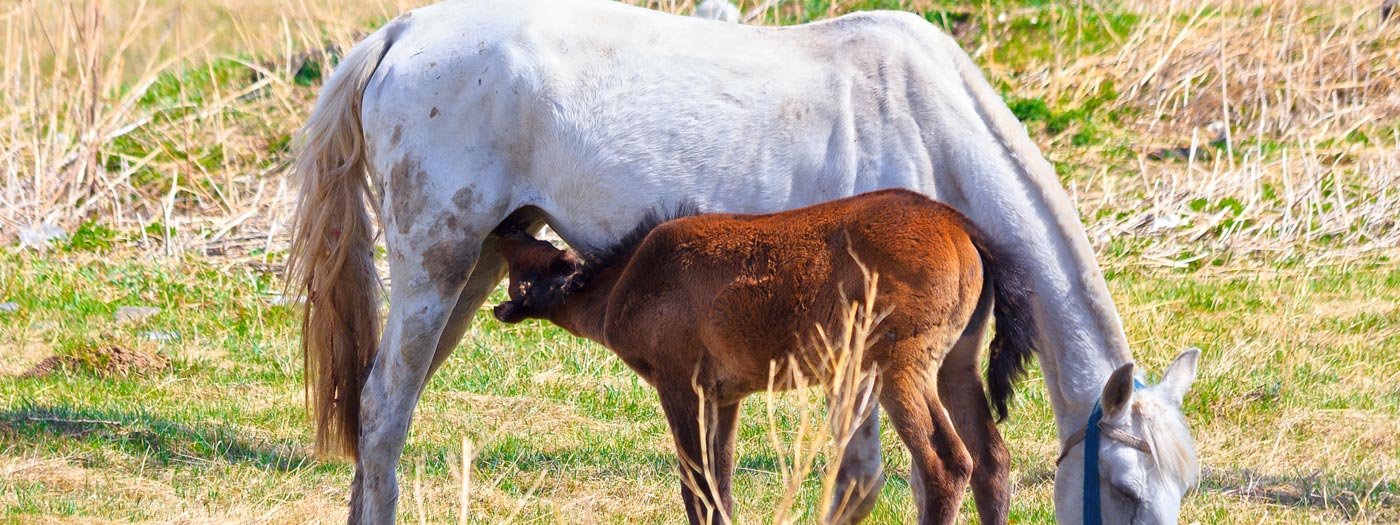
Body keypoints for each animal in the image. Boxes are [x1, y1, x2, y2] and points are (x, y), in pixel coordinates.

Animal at [491, 189, 1033, 524]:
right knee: (992, 460)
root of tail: (962, 228)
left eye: (529, 260)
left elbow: (696, 484)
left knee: (948, 463)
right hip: (956, 363)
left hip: (897, 365)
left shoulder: (680, 383)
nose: (504, 228)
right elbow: (721, 484)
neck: (625, 284)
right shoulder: (725, 396)